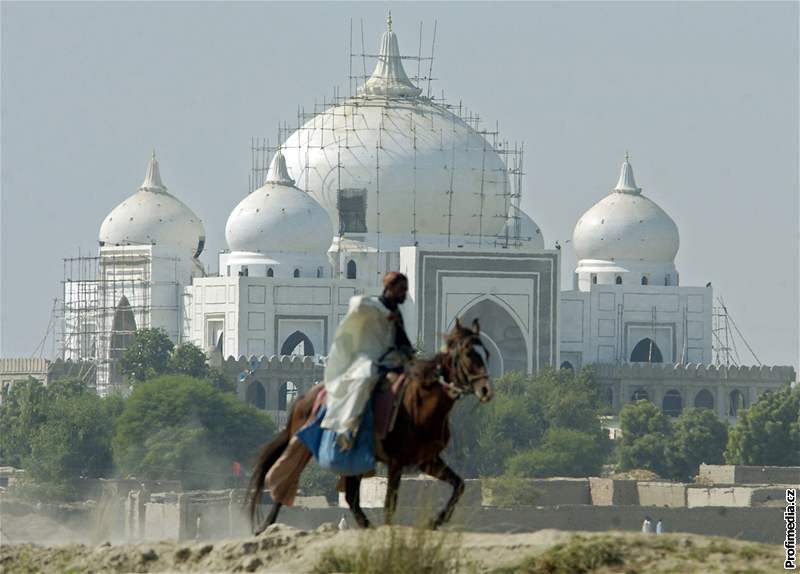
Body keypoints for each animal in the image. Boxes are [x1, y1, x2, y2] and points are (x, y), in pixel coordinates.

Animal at [247, 318, 490, 532]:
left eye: (484, 355)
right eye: (468, 355)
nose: (485, 389)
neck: (422, 406)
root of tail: (304, 398)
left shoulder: (427, 459)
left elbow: (459, 485)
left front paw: (435, 521)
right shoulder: (397, 460)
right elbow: (389, 503)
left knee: (350, 496)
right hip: (304, 440)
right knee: (288, 475)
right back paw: (264, 526)